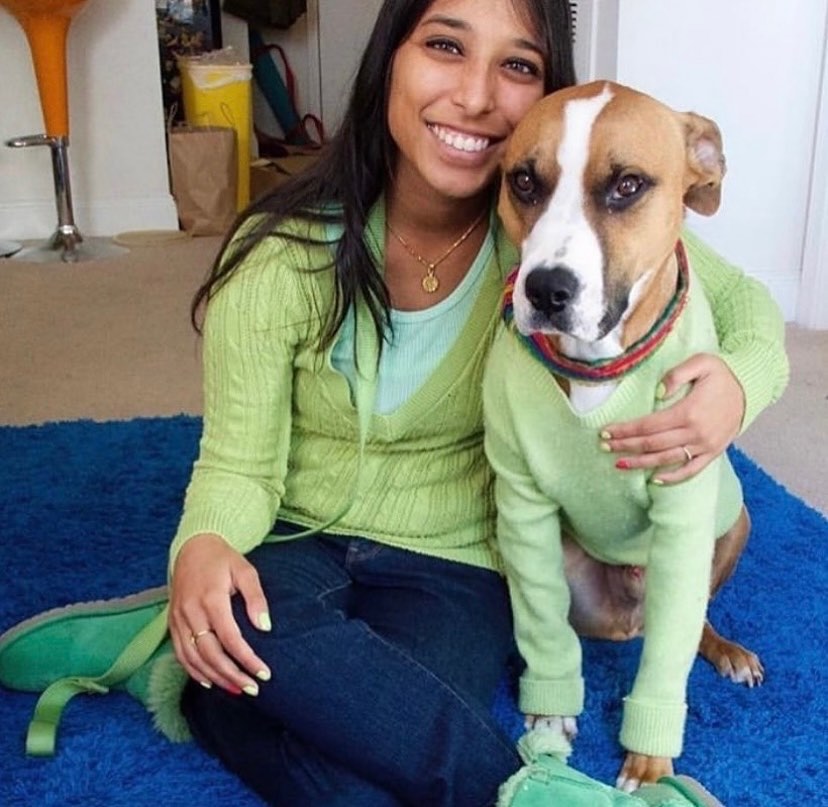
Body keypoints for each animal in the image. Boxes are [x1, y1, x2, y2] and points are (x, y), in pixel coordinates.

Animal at [488, 80, 768, 788]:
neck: (596, 368)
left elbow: (668, 663)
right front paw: (549, 711)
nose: (545, 290)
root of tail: (628, 622)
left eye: (628, 186)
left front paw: (649, 763)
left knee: (689, 622)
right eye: (523, 180)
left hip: (733, 523)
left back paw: (724, 650)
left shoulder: (685, 510)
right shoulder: (522, 506)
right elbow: (544, 629)